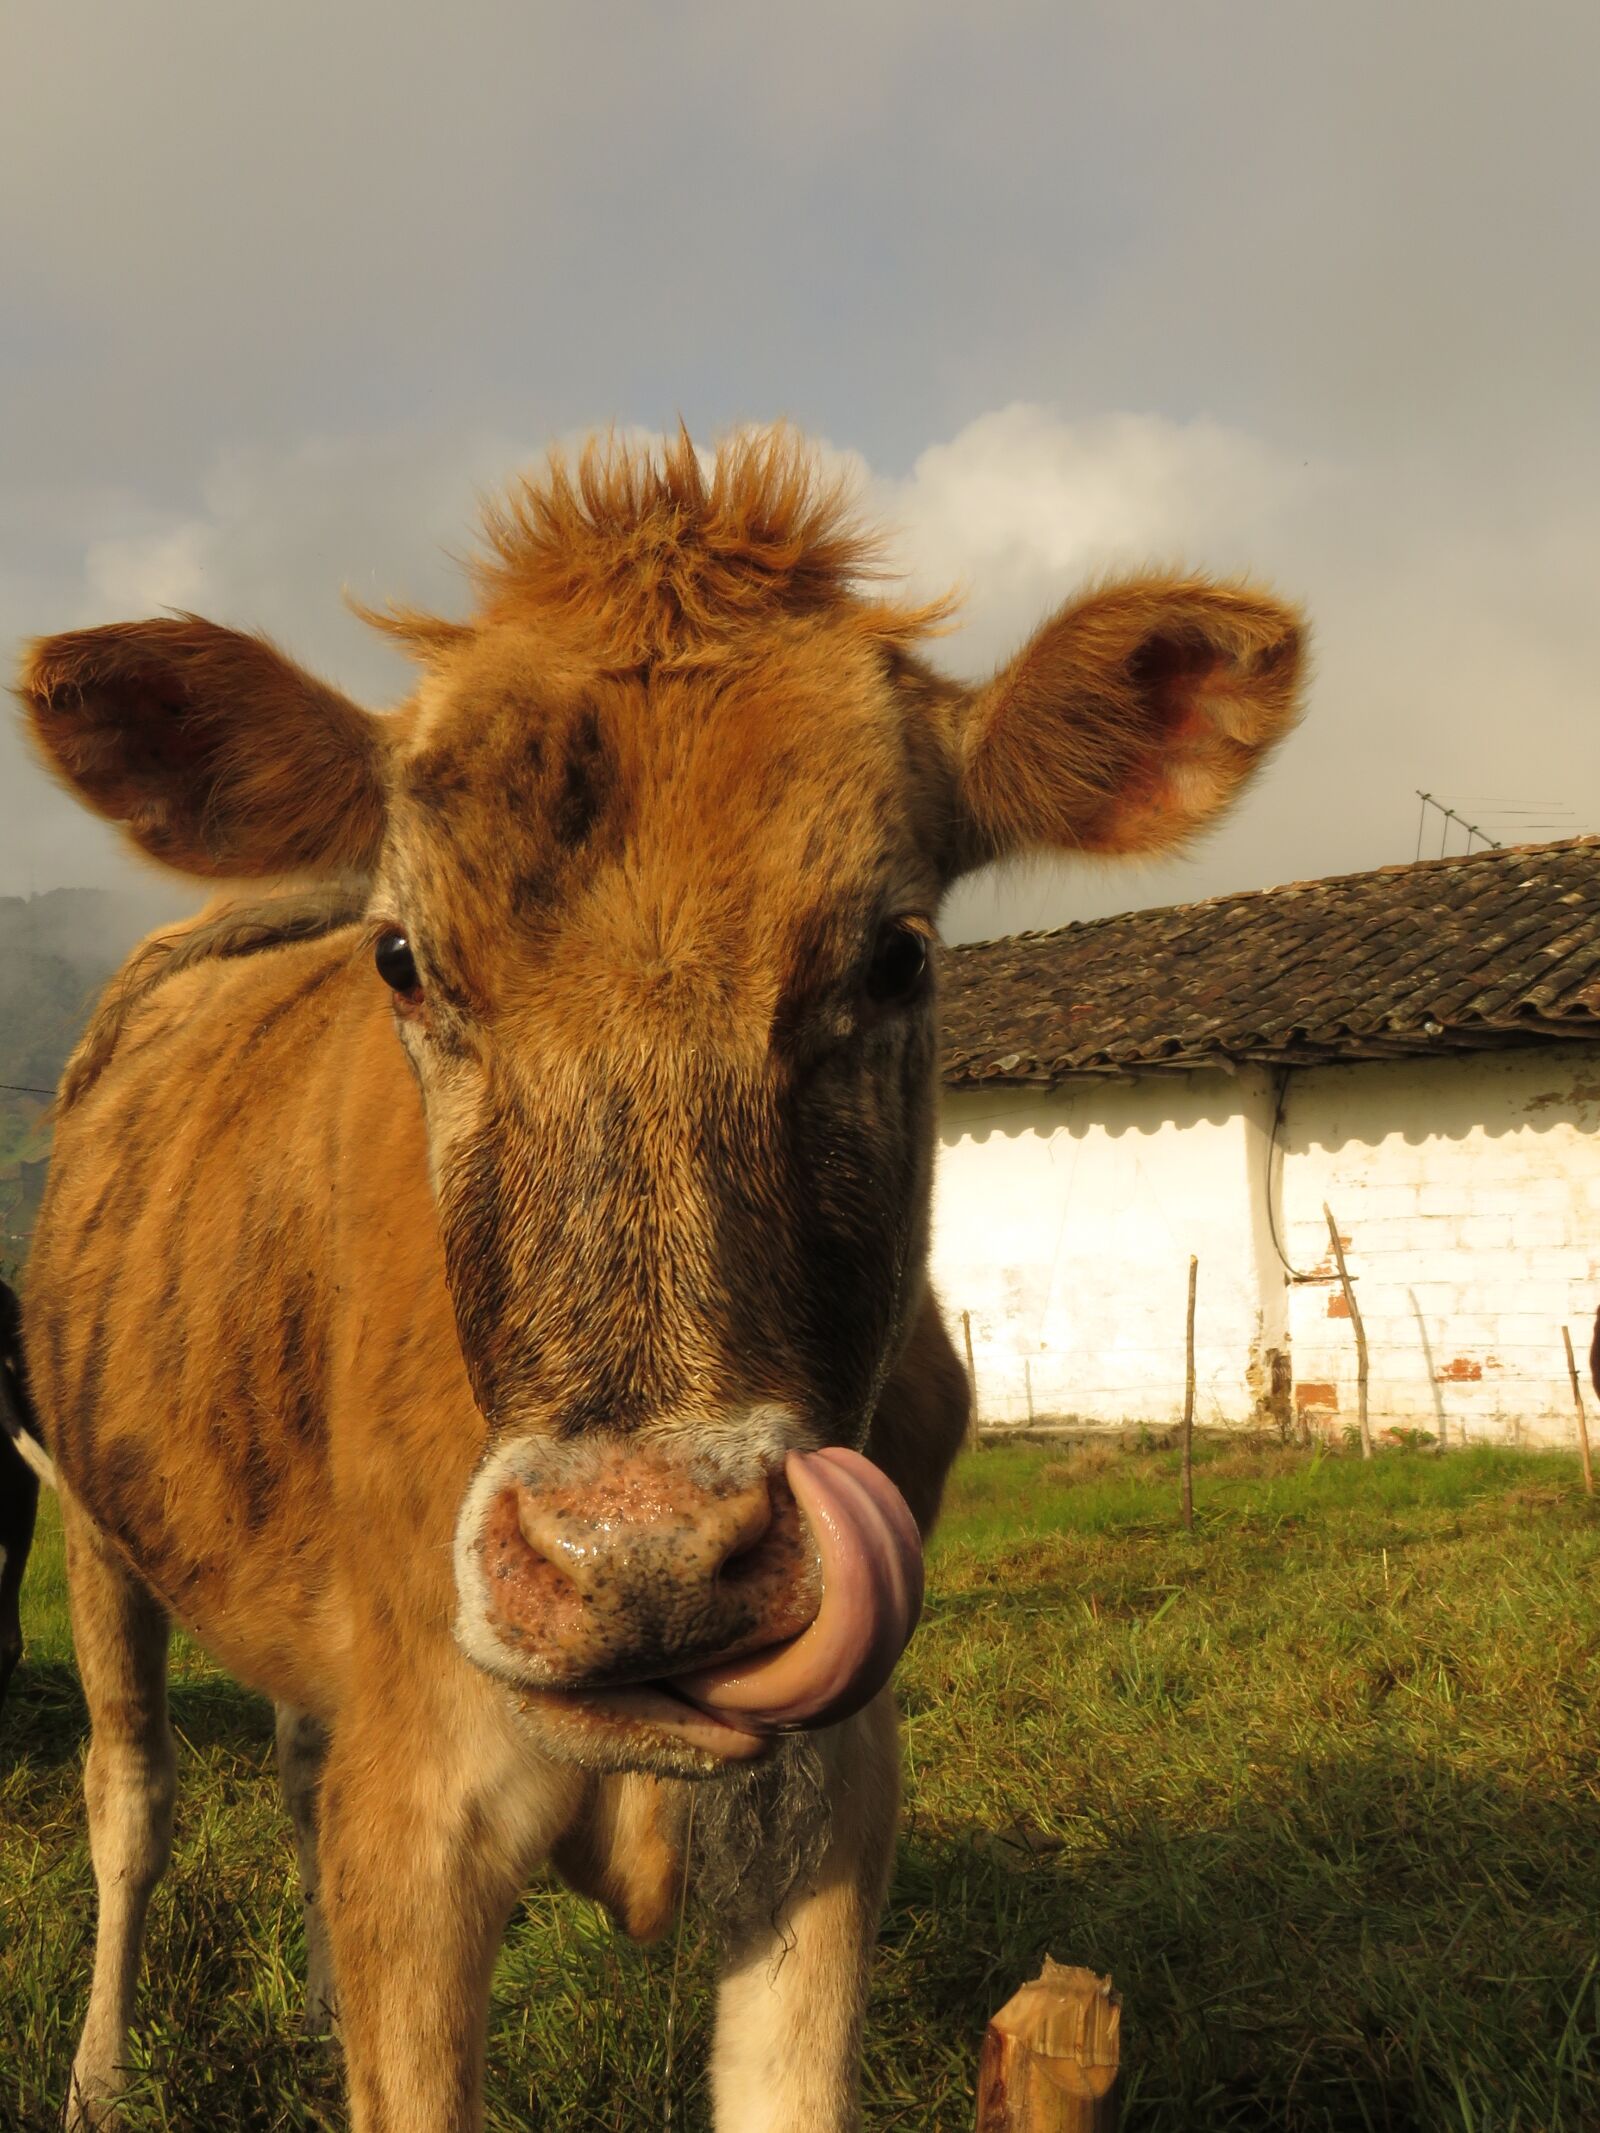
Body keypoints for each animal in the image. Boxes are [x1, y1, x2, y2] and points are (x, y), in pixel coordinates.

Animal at [12, 426, 1305, 2131]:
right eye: (404, 959)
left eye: (896, 952)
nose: (643, 1561)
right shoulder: (419, 1813)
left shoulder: (833, 1806)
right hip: (94, 1519)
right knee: (132, 1792)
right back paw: (102, 2068)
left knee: (291, 1766)